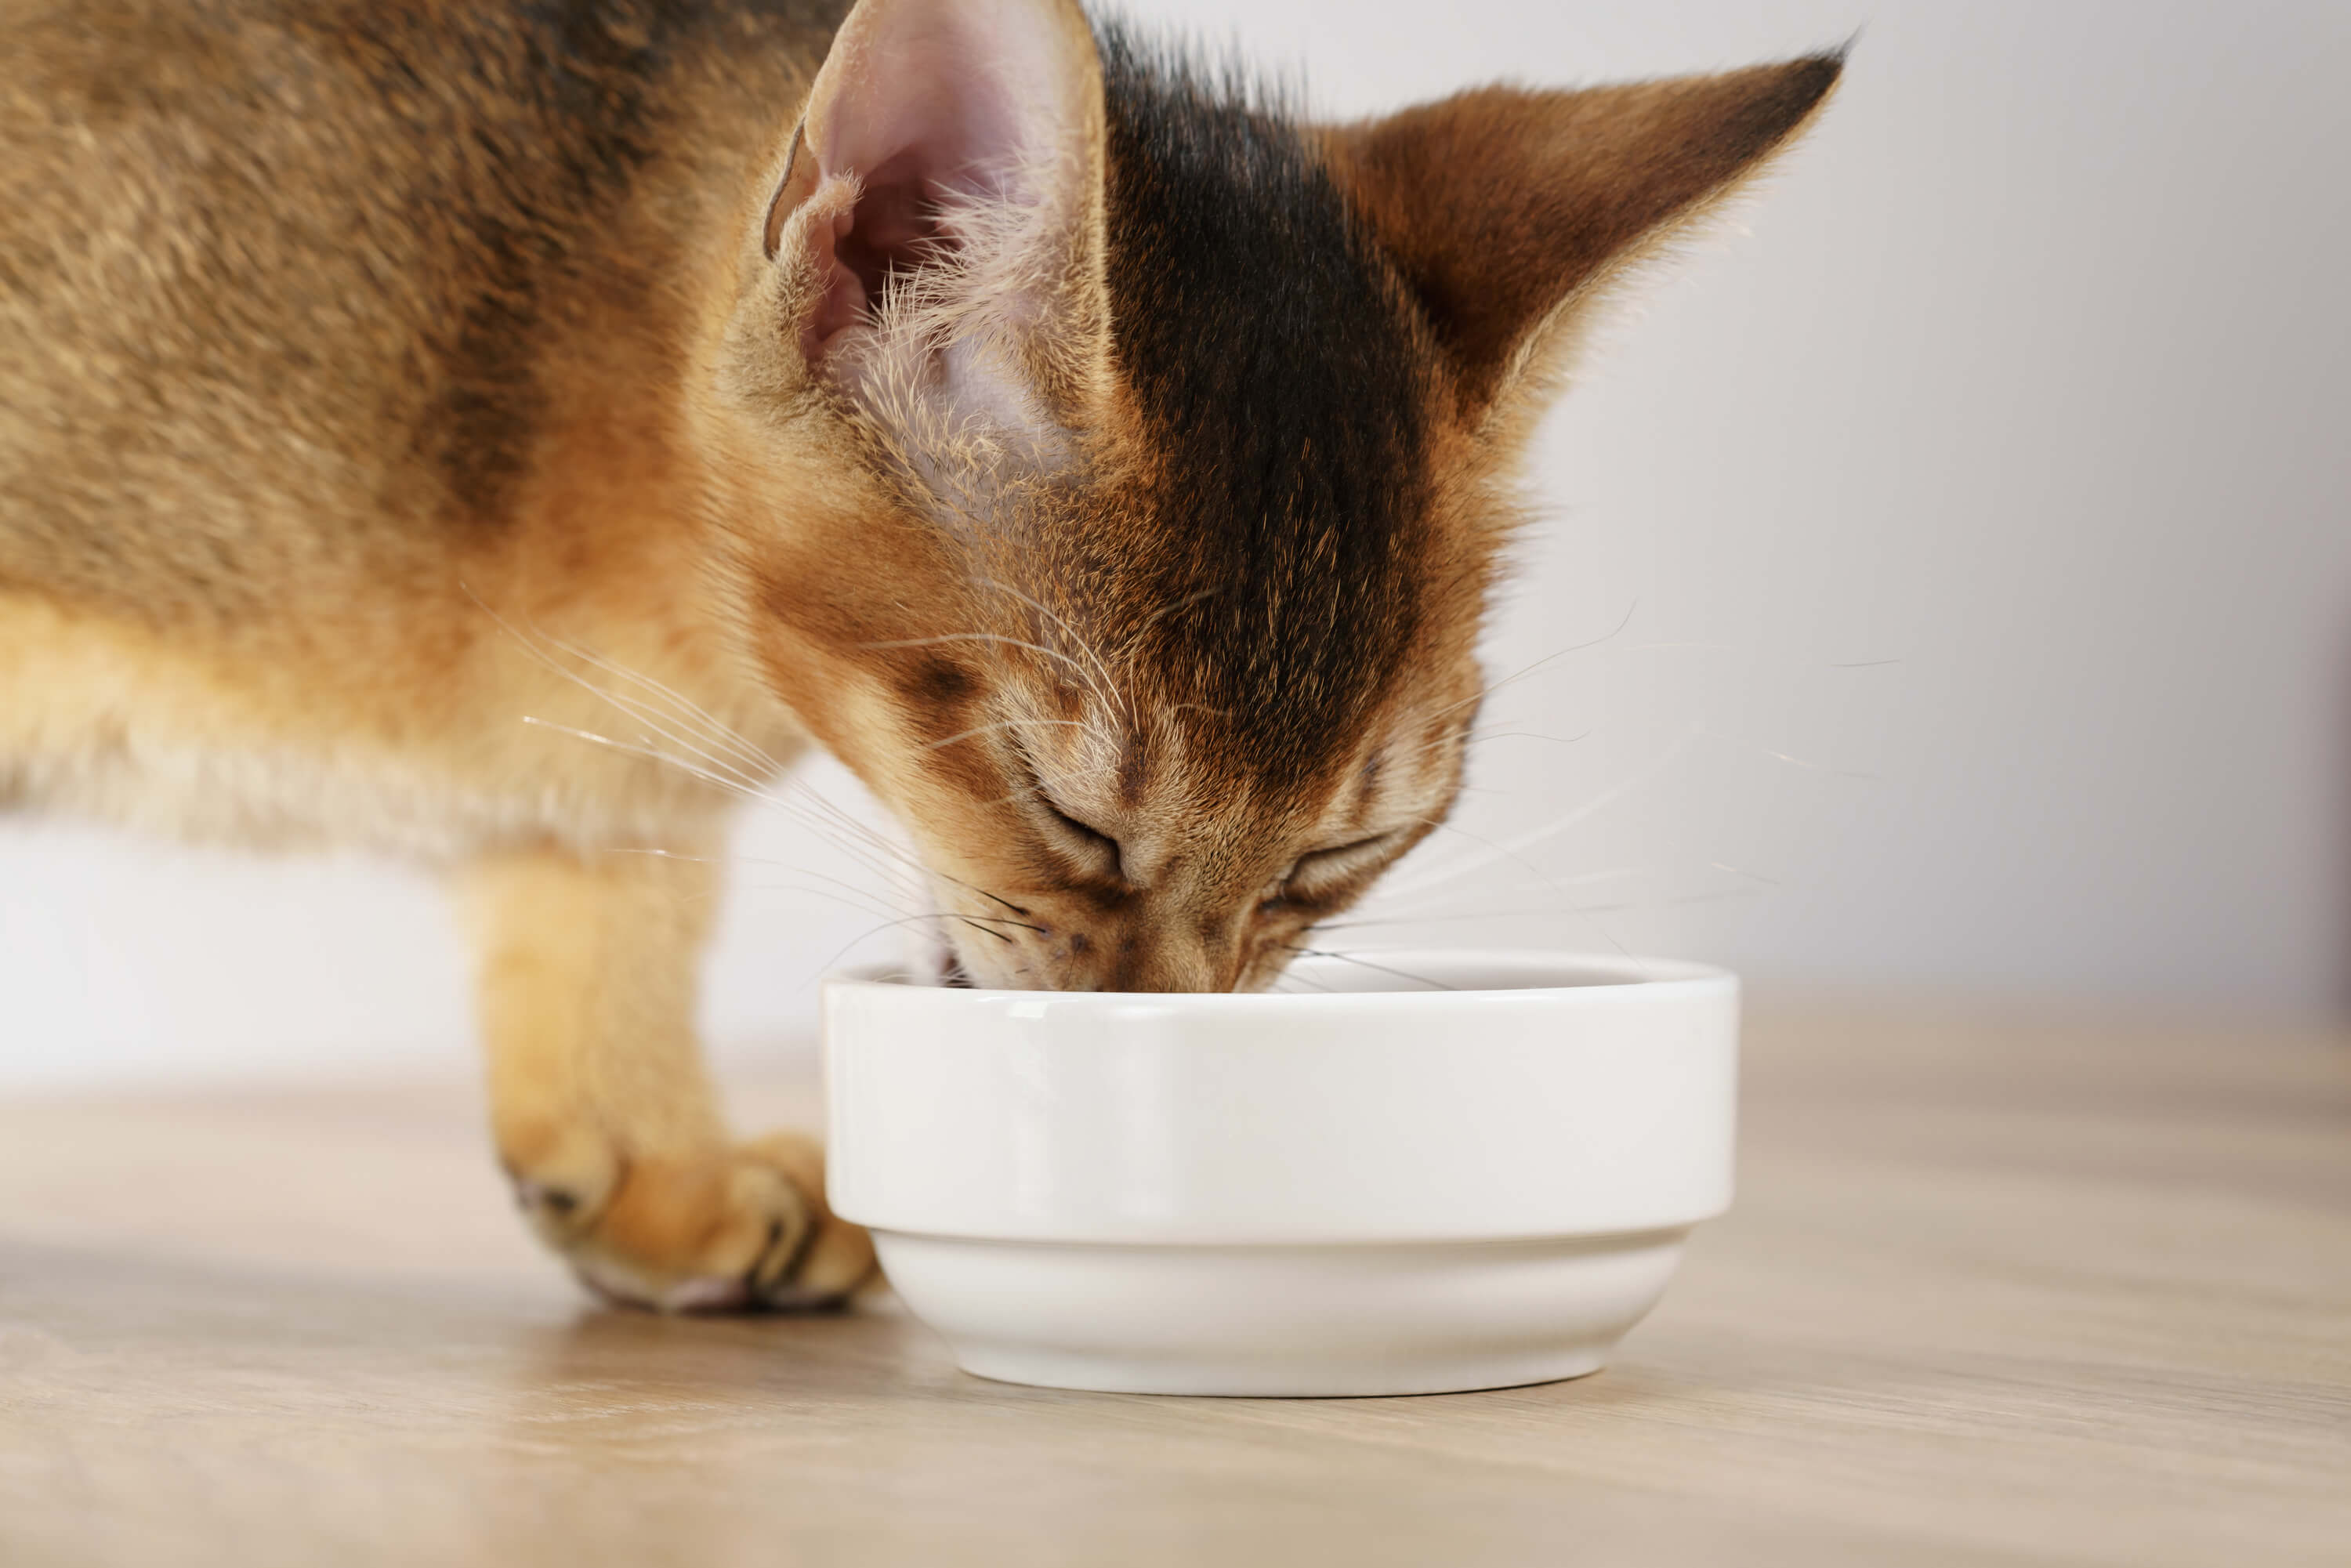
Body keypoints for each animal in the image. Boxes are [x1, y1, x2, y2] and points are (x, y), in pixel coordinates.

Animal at [0, 0, 1834, 1316]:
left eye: (1342, 852)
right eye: (1068, 809)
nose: (1157, 1046)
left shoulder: (605, 784)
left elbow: (604, 900)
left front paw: (650, 1168)